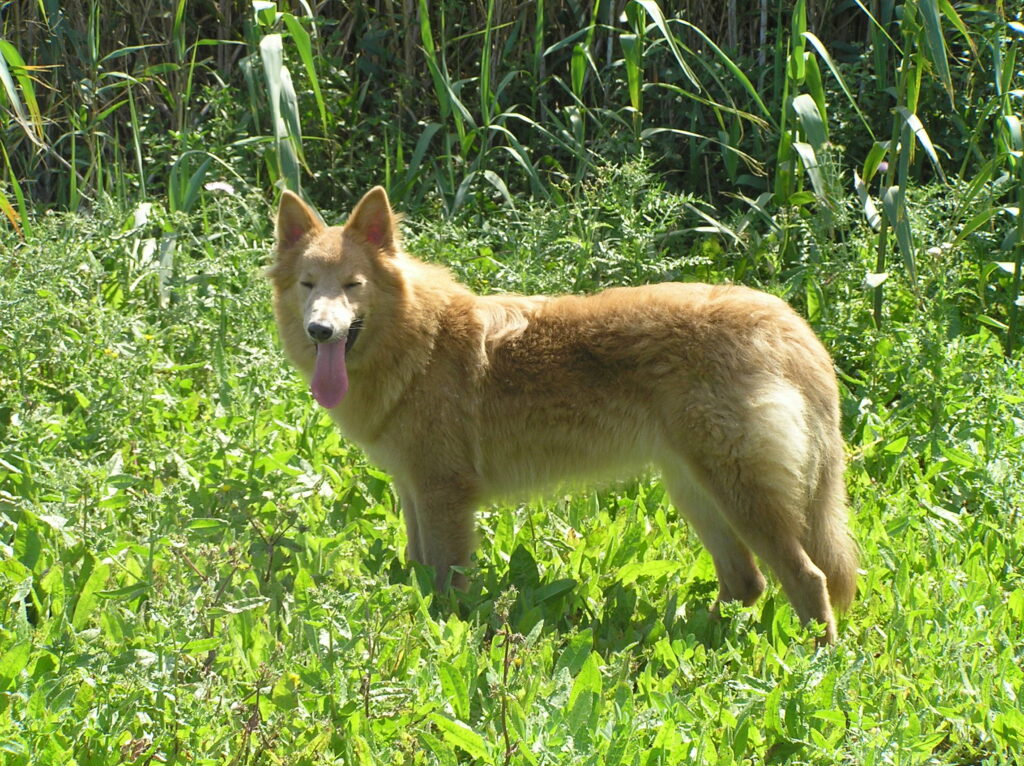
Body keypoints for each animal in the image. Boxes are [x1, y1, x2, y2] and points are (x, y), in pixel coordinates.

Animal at [266, 185, 856, 639]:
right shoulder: (414, 491)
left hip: (739, 497)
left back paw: (814, 666)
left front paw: (447, 637)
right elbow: (420, 570)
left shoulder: (444, 497)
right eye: (308, 285)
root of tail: (788, 322)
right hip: (698, 494)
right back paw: (695, 643)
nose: (321, 330)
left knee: (808, 579)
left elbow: (449, 586)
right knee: (746, 582)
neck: (419, 343)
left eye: (353, 285)